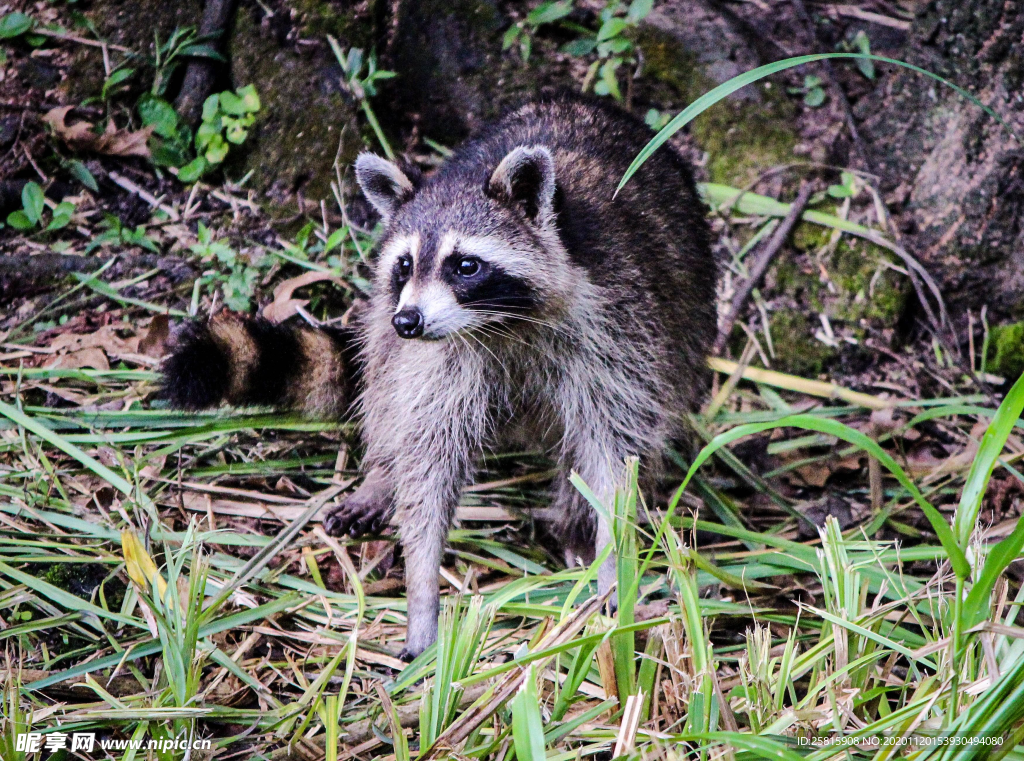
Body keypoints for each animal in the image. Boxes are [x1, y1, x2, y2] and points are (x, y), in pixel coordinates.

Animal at [161, 96, 720, 659]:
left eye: (465, 265)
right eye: (405, 264)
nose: (408, 320)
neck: (500, 325)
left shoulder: (616, 327)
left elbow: (615, 452)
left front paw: (611, 562)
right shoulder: (440, 360)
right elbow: (427, 454)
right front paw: (422, 588)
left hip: (687, 320)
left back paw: (576, 524)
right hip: (388, 329)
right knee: (384, 381)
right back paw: (382, 473)